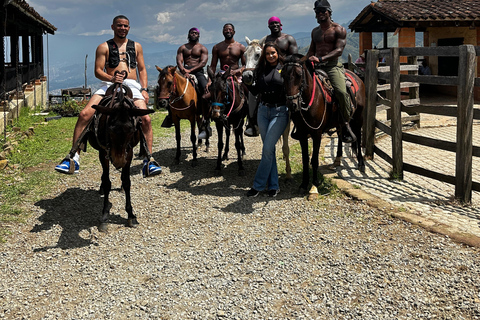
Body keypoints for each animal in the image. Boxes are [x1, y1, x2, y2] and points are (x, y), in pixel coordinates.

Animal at [86, 84, 154, 231]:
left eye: (132, 130)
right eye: (110, 129)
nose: (118, 161)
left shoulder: (129, 153)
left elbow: (127, 181)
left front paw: (130, 215)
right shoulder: (104, 153)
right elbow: (107, 182)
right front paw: (104, 216)